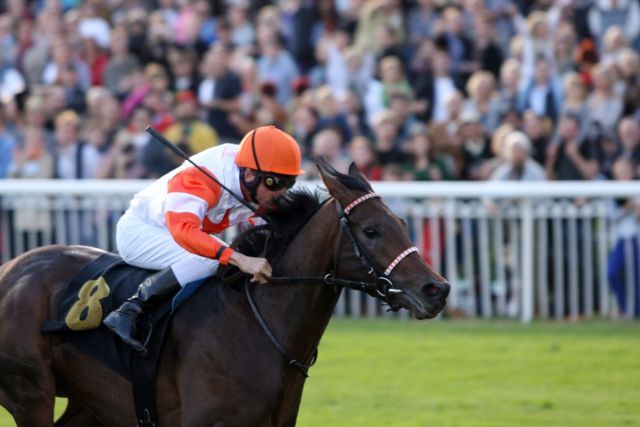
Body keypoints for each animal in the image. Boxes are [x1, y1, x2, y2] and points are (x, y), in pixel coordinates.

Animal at [0, 161, 450, 427]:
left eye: (402, 223)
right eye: (371, 230)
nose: (437, 289)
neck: (256, 324)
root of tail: (11, 269)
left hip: (90, 403)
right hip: (31, 392)